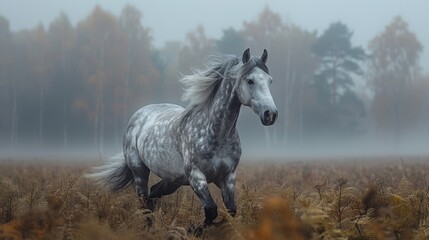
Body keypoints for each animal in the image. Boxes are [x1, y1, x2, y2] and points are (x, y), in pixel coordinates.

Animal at [88, 48, 280, 225]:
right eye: (250, 80)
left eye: (270, 80)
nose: (270, 114)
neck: (217, 135)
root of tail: (138, 115)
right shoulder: (196, 176)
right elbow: (211, 210)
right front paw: (194, 230)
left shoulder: (228, 177)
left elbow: (231, 211)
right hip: (140, 171)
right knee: (144, 202)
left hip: (173, 180)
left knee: (152, 195)